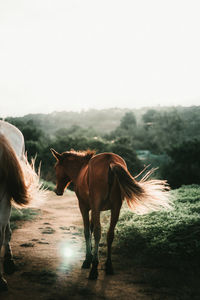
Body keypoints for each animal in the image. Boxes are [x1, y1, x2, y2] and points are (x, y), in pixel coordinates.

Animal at [50, 149, 171, 280]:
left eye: (56, 168)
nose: (58, 191)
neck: (81, 170)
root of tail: (110, 161)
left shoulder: (85, 207)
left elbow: (87, 231)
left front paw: (88, 260)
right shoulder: (96, 209)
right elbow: (92, 228)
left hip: (98, 206)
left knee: (98, 232)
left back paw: (94, 269)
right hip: (116, 208)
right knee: (110, 234)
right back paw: (108, 266)